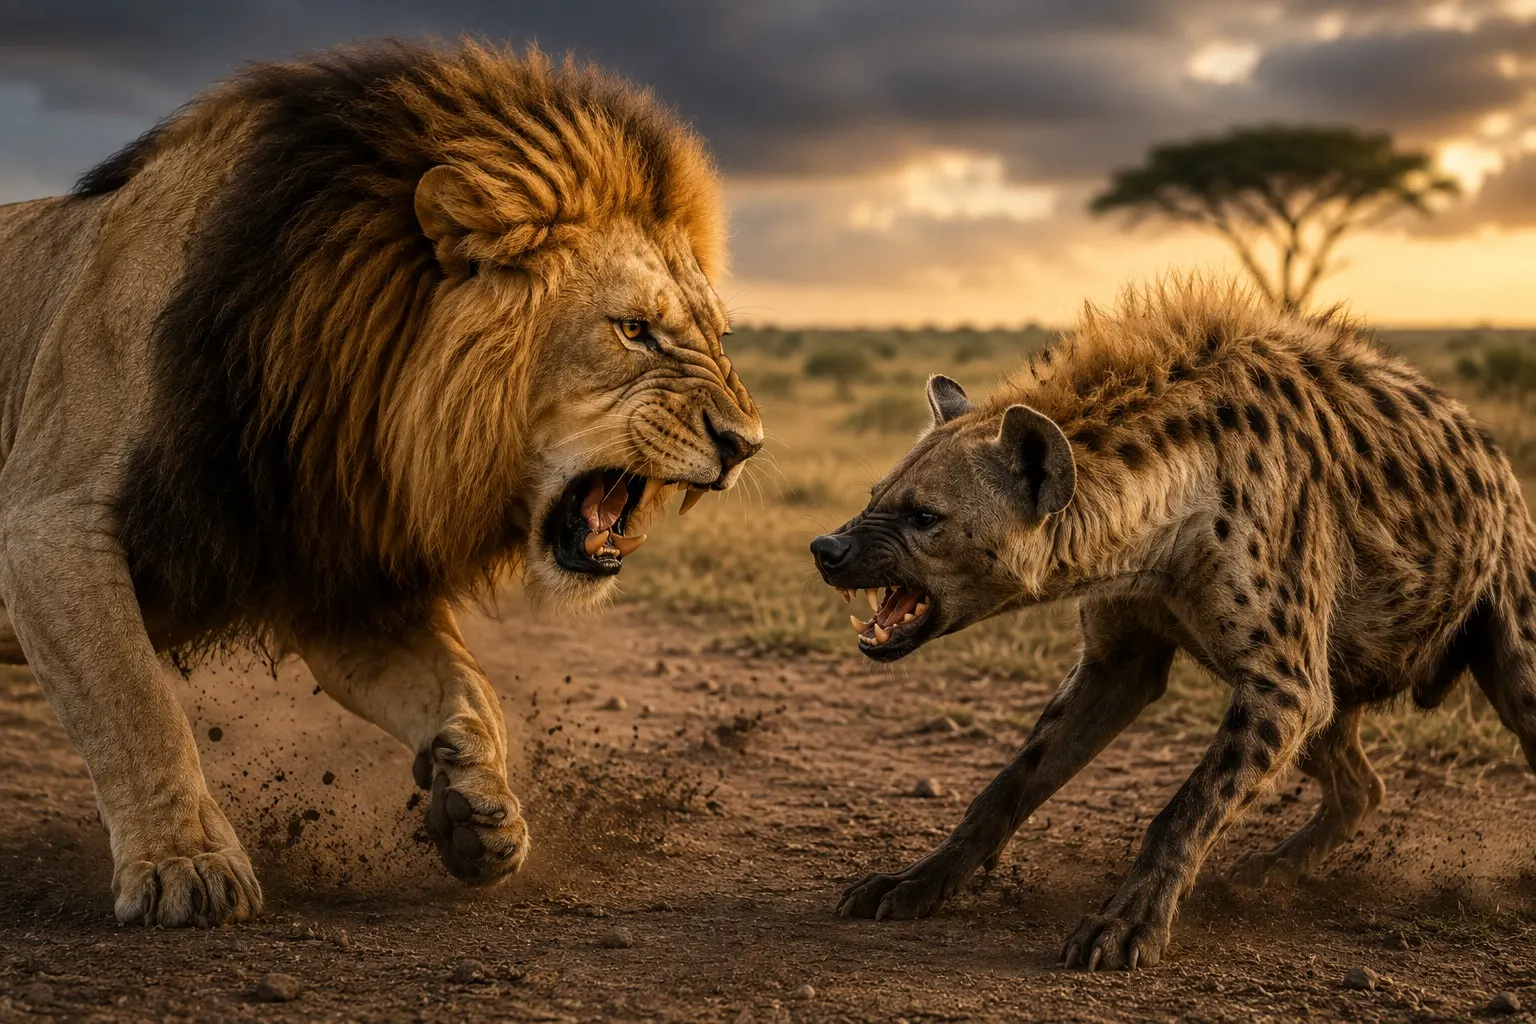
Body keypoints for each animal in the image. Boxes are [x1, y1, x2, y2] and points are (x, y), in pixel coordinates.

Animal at [0, 39, 761, 927]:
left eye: (717, 334)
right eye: (635, 330)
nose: (747, 444)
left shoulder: (336, 571)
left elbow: (467, 684)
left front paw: (477, 800)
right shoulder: (48, 524)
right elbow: (134, 704)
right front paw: (184, 864)